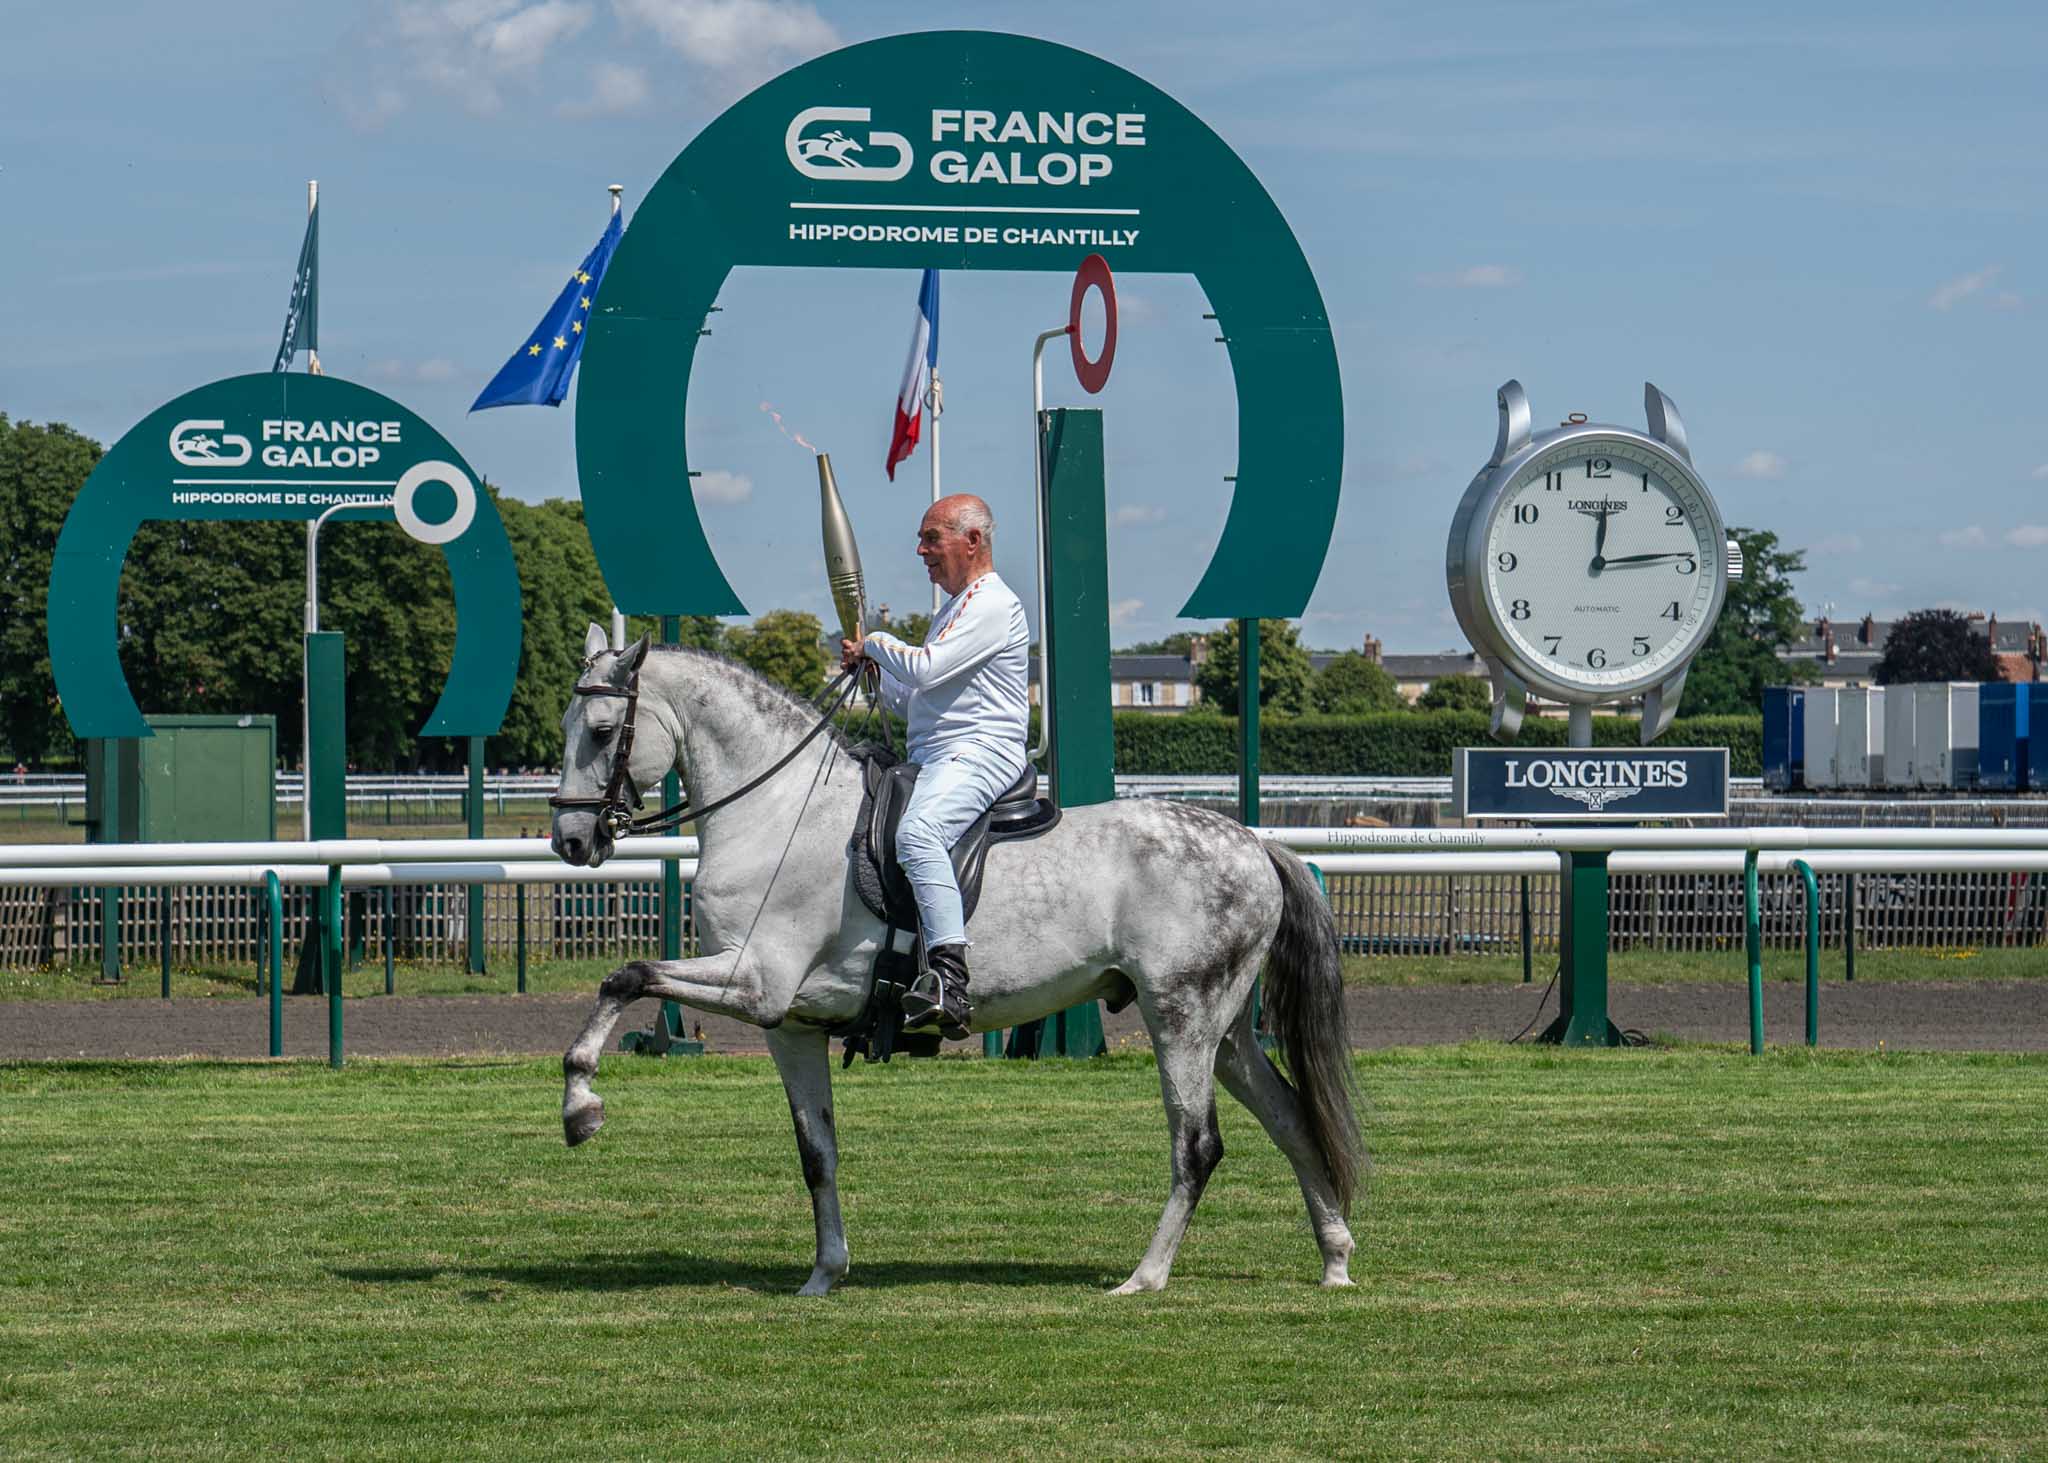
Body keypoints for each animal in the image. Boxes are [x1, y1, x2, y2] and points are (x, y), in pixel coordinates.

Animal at [552, 622, 1368, 1286]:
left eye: (602, 730)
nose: (570, 840)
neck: (778, 812)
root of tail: (1255, 842)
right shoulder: (789, 1024)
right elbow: (817, 1152)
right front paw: (825, 1273)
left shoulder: (753, 984)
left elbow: (626, 977)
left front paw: (581, 1105)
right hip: (1223, 1033)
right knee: (1291, 1119)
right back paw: (1334, 1258)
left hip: (1182, 1020)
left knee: (1197, 1145)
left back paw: (1146, 1276)